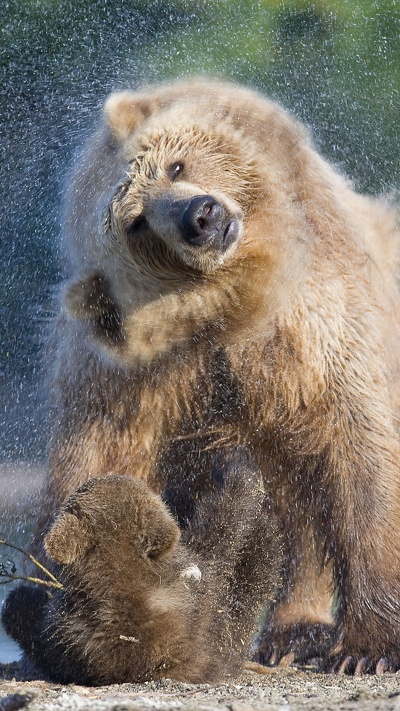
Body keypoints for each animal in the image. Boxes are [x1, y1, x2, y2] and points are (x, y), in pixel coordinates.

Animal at [32, 79, 400, 672]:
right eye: (136, 223)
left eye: (175, 165)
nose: (201, 216)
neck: (233, 310)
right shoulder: (129, 383)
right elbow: (100, 464)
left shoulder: (316, 327)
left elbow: (359, 458)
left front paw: (368, 650)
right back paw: (291, 631)